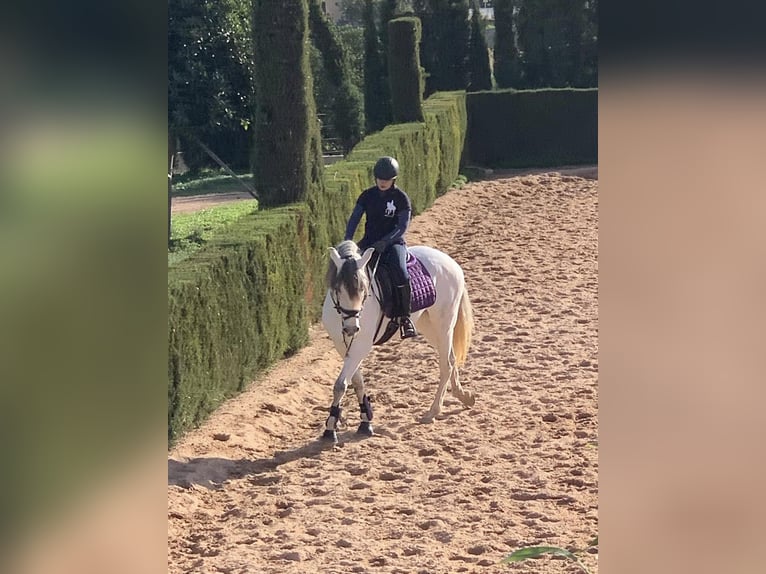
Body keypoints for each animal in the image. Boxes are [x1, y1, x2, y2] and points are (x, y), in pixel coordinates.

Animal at [318, 241, 474, 444]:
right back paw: (463, 396)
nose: (351, 329)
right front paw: (365, 422)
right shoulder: (342, 345)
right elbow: (357, 381)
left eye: (363, 290)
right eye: (337, 290)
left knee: (446, 364)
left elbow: (340, 385)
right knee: (452, 358)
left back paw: (432, 412)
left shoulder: (361, 346)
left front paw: (330, 429)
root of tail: (449, 261)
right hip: (428, 326)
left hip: (444, 323)